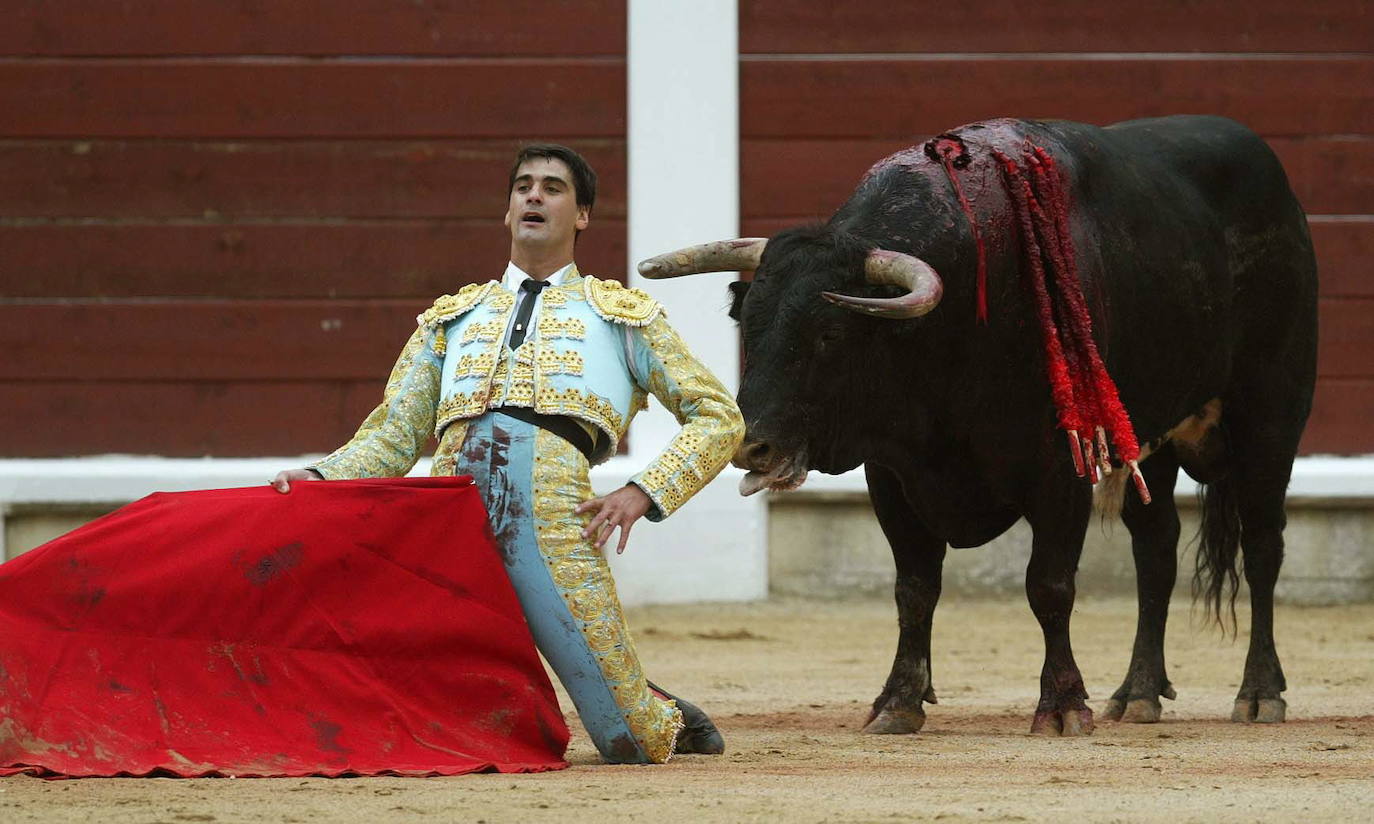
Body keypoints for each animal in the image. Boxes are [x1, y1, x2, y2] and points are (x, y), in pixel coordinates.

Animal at [643, 113, 1319, 736]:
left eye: (830, 333)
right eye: (747, 324)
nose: (751, 444)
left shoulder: (1061, 470)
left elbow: (1049, 586)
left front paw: (1063, 705)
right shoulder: (892, 474)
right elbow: (914, 589)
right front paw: (898, 702)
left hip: (1272, 417)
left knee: (1263, 547)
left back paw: (1261, 694)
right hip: (1150, 438)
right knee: (1156, 549)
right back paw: (1138, 693)